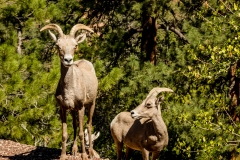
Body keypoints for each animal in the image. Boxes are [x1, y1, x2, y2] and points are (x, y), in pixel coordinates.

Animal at [40, 23, 97, 160]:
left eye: (75, 45)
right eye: (58, 45)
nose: (68, 60)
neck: (70, 90)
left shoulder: (81, 107)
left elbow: (82, 132)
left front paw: (84, 156)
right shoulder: (64, 108)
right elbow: (65, 134)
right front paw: (63, 155)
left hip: (92, 104)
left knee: (89, 125)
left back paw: (90, 153)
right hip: (73, 110)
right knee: (75, 126)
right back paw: (75, 150)